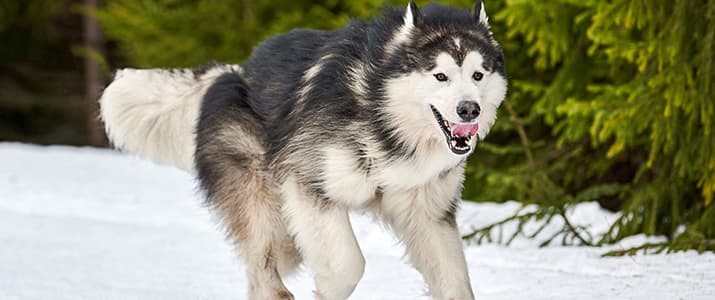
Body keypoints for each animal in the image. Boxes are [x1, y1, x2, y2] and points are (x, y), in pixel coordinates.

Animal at [98, 1, 510, 298]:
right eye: (440, 76)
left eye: (478, 75)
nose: (469, 109)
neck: (379, 113)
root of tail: (234, 72)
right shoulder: (309, 186)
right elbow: (347, 265)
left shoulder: (428, 214)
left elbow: (456, 284)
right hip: (261, 198)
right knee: (264, 270)